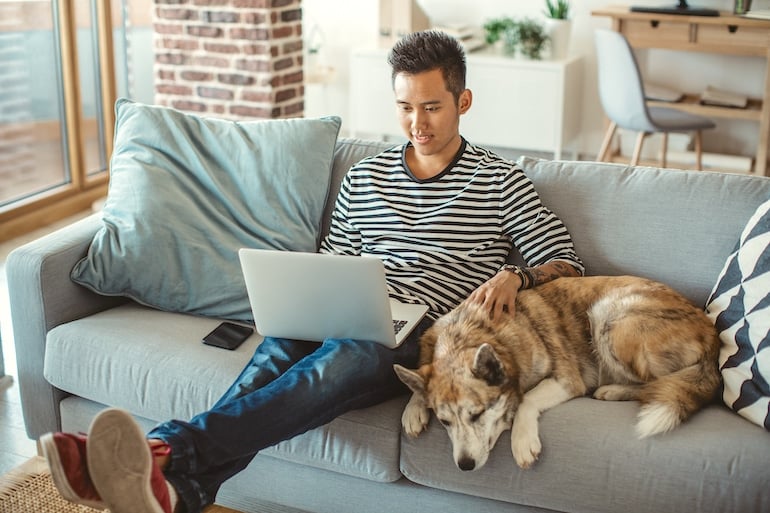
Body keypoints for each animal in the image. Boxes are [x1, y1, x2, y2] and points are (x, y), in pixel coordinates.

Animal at [396, 274, 720, 470]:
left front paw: (522, 441)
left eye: (477, 414)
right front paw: (414, 409)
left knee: (656, 383)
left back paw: (611, 390)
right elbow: (419, 381)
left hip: (608, 316)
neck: (471, 333)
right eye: (444, 422)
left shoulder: (567, 380)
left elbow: (527, 399)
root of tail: (711, 332)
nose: (464, 465)